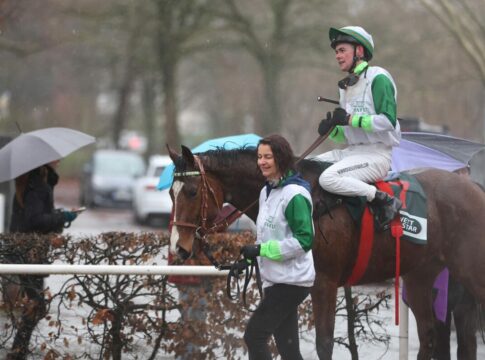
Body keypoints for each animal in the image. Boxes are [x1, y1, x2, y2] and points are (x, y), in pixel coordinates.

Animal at [165, 145, 484, 358]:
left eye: (192, 191)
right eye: (170, 192)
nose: (178, 248)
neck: (311, 199)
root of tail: (473, 185)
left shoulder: (324, 284)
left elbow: (324, 344)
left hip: (470, 272)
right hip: (420, 275)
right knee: (431, 335)